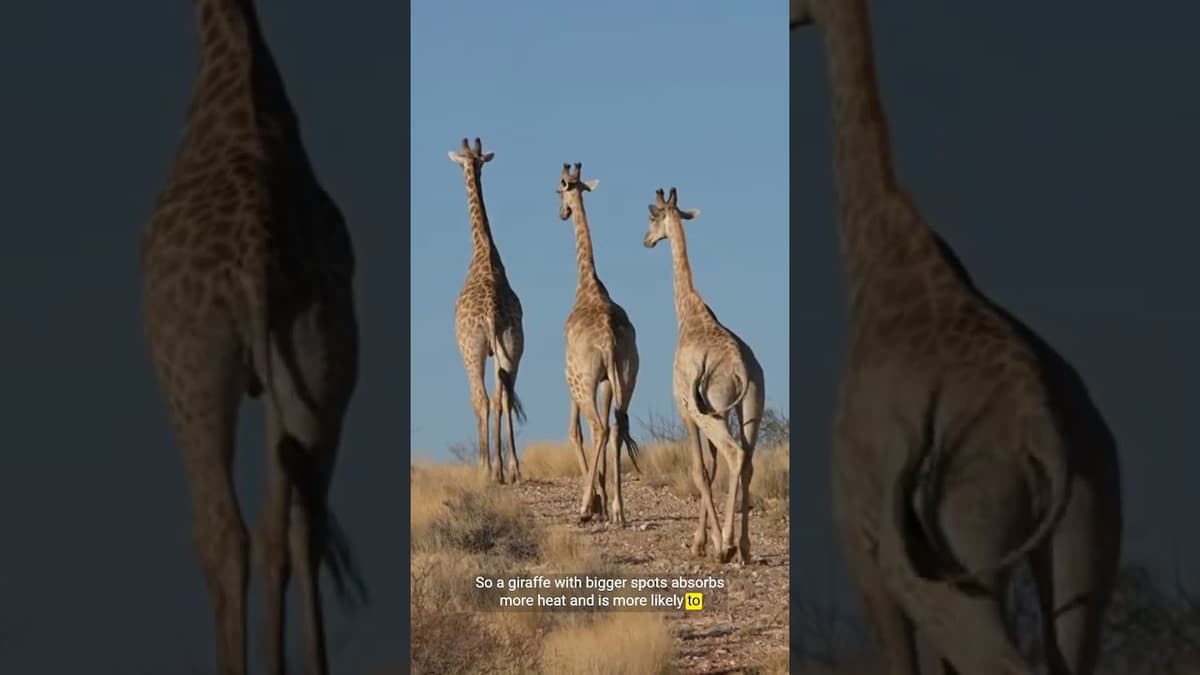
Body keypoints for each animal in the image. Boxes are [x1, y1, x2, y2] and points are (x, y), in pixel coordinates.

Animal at [642, 188, 766, 564]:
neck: (690, 312)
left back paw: (727, 545)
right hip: (751, 406)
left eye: (652, 217)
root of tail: (741, 367)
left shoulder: (686, 410)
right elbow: (709, 471)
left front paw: (708, 543)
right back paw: (744, 547)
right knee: (748, 459)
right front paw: (703, 540)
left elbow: (700, 471)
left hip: (713, 411)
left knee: (734, 453)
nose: (646, 240)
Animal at [792, 1, 1123, 673]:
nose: (788, 18)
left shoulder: (863, 548)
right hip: (1090, 510)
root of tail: (1044, 432)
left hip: (967, 529)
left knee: (998, 655)